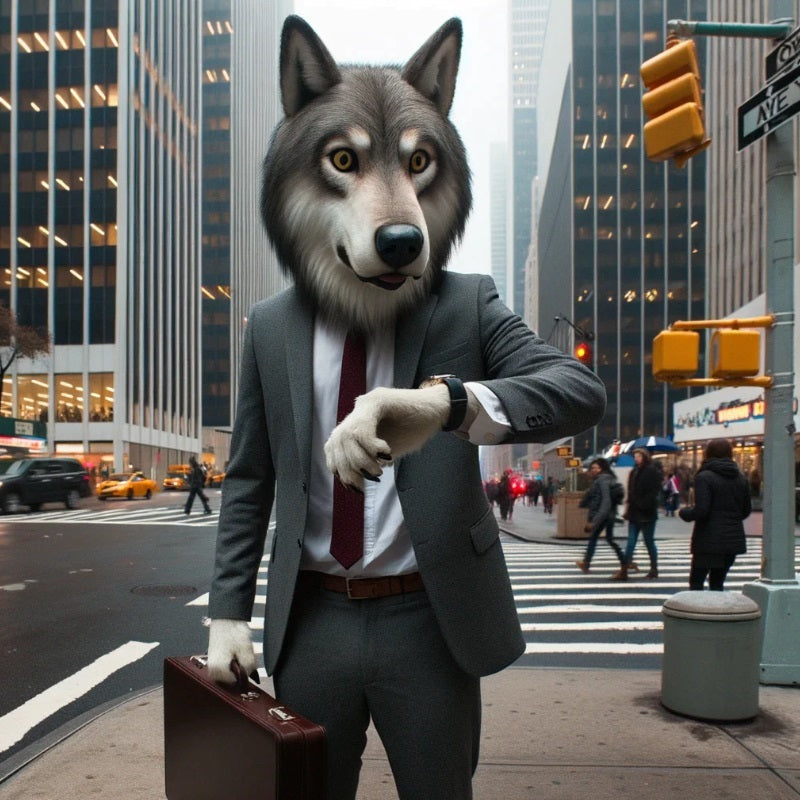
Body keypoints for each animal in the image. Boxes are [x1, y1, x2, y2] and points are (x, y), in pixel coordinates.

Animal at [207, 15, 606, 799]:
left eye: (420, 160)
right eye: (342, 158)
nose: (401, 241)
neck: (360, 310)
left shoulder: (499, 319)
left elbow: (568, 380)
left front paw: (387, 414)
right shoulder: (256, 397)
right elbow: (247, 485)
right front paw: (229, 640)